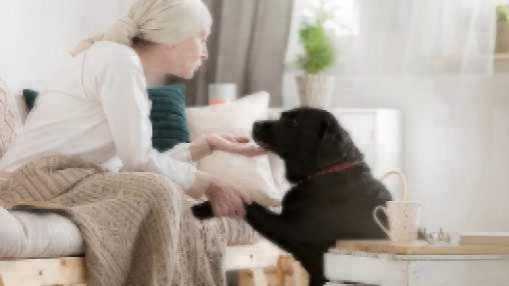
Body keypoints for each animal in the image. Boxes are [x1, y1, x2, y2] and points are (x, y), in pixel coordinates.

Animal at [192, 107, 390, 286]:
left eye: (293, 122)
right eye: (282, 116)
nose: (256, 123)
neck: (326, 171)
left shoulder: (290, 230)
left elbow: (249, 203)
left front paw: (203, 207)